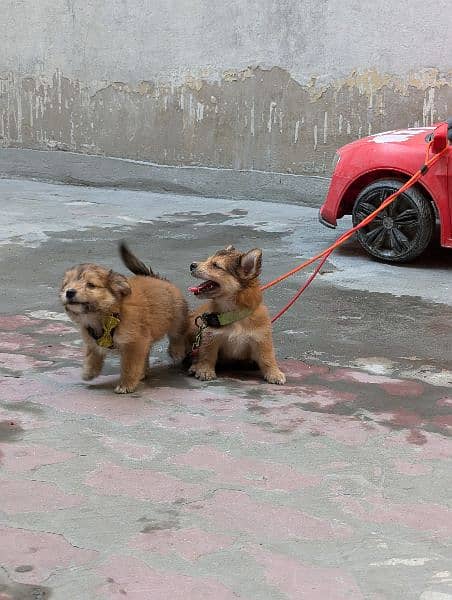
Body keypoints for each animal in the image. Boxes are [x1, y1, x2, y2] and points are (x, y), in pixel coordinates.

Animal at [60, 244, 187, 394]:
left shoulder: (135, 343)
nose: (69, 292)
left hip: (177, 317)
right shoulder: (95, 342)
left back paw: (176, 351)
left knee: (177, 334)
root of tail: (158, 279)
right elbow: (92, 355)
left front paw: (126, 384)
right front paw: (89, 372)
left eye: (91, 285)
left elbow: (130, 366)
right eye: (67, 284)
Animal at [187, 244, 286, 384]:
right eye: (208, 260)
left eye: (216, 265)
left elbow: (267, 357)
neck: (233, 314)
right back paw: (195, 366)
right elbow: (207, 354)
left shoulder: (262, 338)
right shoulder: (210, 335)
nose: (192, 265)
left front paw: (274, 373)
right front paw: (205, 370)